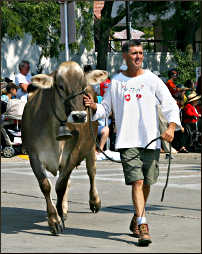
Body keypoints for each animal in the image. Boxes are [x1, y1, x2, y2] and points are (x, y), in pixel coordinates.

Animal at [21, 60, 108, 235]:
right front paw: (55, 219)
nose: (79, 116)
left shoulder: (72, 154)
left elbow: (60, 186)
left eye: (83, 86)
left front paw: (59, 216)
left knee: (91, 173)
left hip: (90, 147)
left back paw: (94, 201)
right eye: (60, 86)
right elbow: (46, 186)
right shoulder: (34, 155)